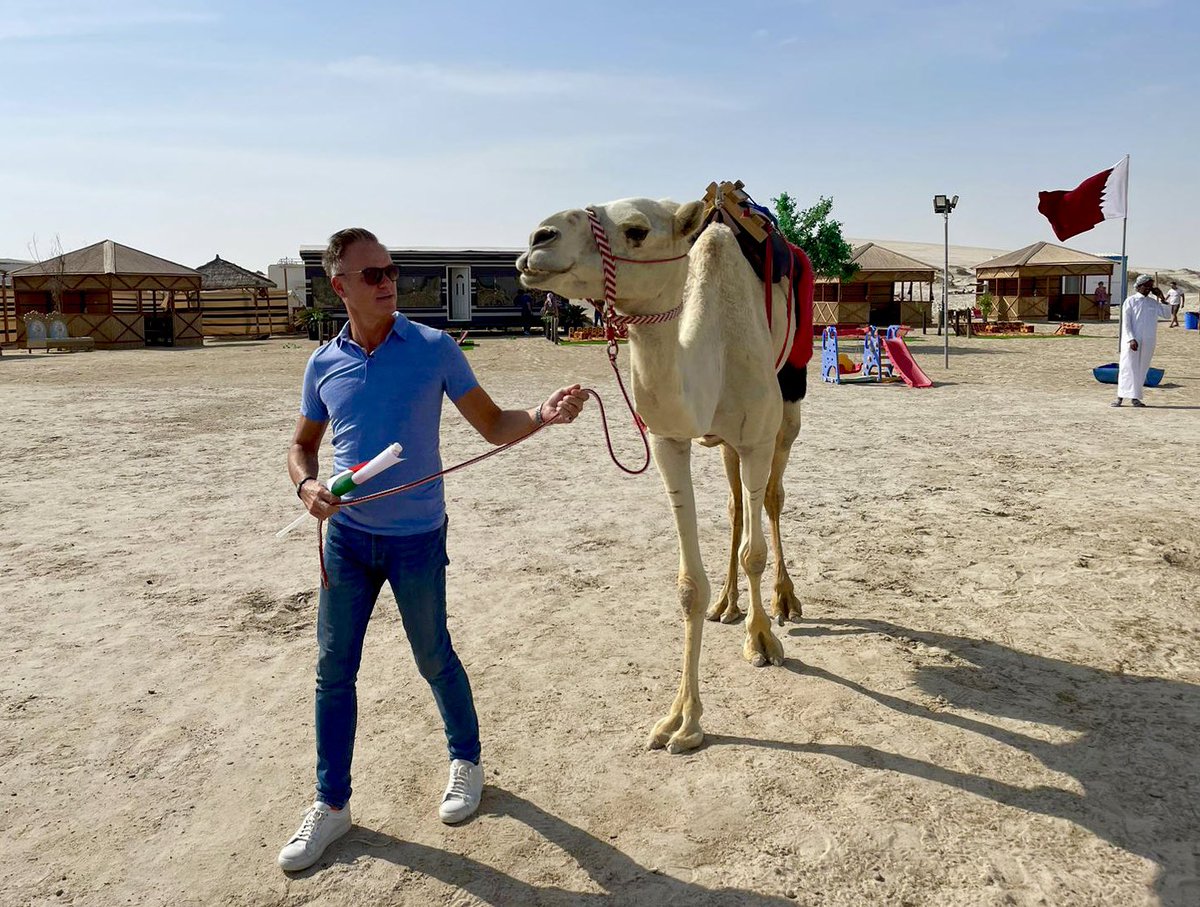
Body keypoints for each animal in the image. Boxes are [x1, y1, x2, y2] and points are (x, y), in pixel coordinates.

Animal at [516, 197, 807, 754]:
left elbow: (755, 551)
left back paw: (784, 601)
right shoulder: (669, 439)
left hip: (789, 407)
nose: (538, 240)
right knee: (736, 507)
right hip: (726, 444)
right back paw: (727, 604)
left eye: (636, 230)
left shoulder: (758, 437)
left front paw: (761, 641)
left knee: (772, 499)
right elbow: (688, 584)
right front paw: (682, 720)